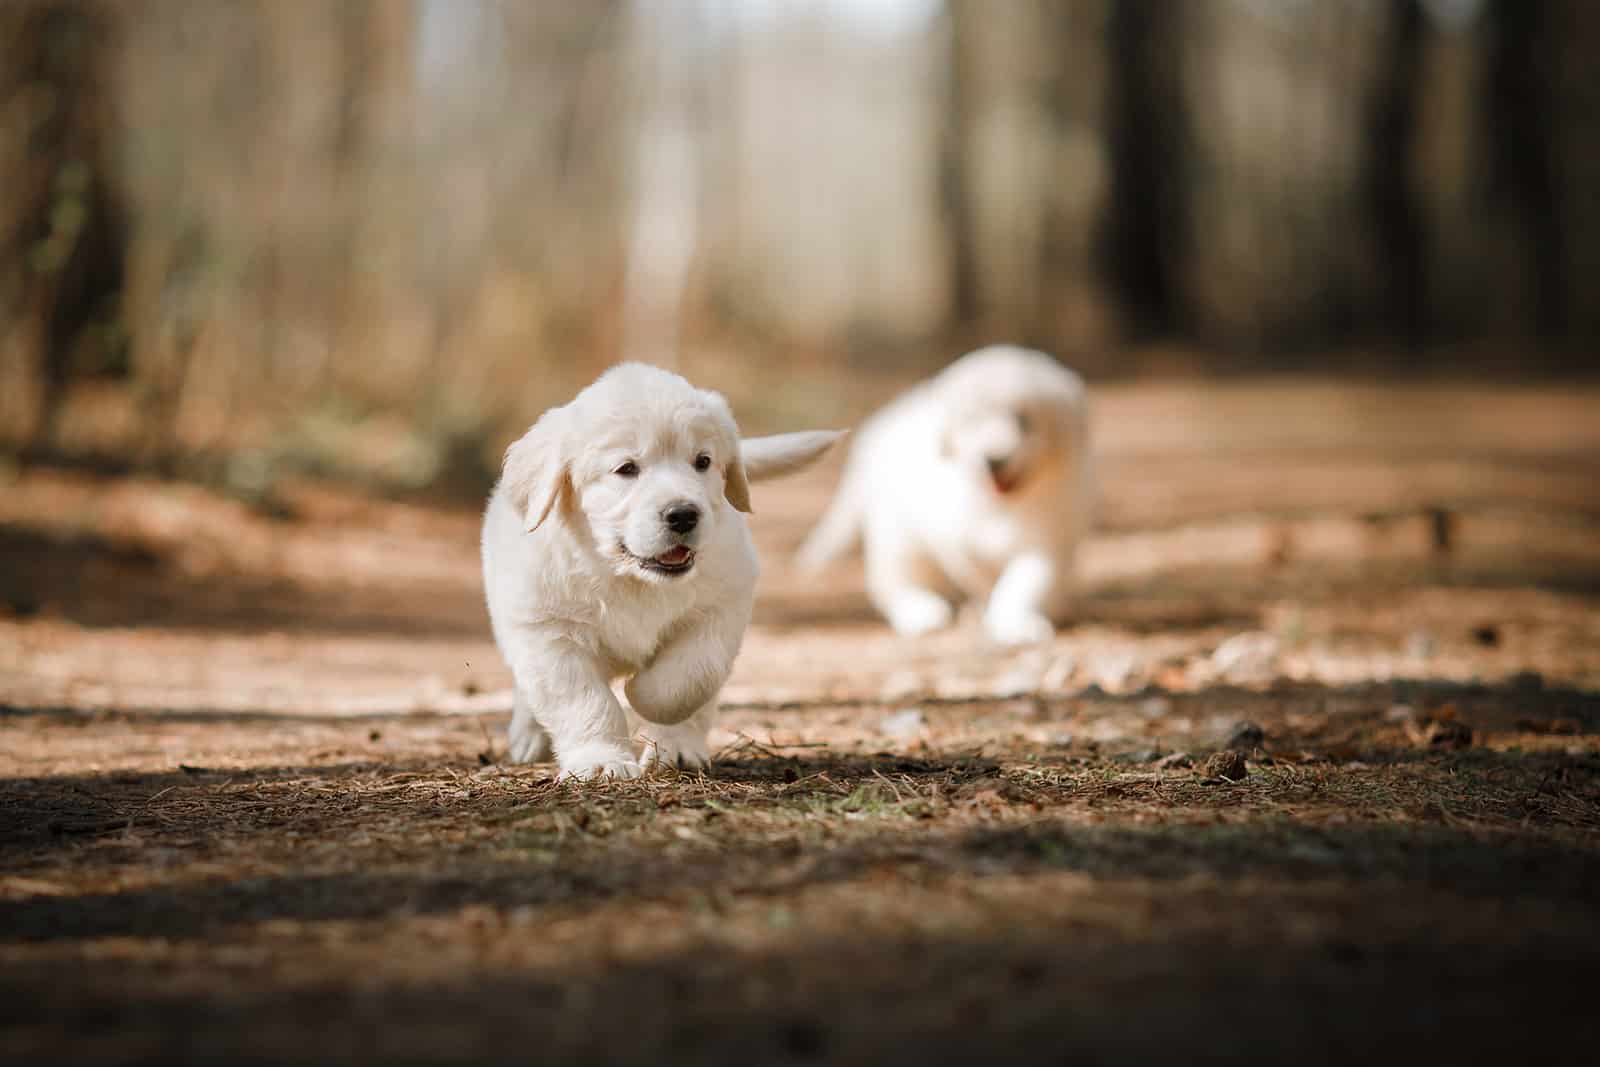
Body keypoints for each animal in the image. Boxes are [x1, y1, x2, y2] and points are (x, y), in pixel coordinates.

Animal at [483, 363, 838, 780]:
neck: (628, 577)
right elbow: (583, 700)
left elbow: (690, 679)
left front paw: (645, 700)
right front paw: (600, 760)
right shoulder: (548, 630)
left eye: (702, 461)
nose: (683, 514)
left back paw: (679, 750)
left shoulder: (722, 606)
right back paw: (528, 736)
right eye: (626, 469)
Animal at [796, 347, 1088, 643]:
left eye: (1024, 421)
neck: (1001, 505)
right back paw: (920, 612)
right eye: (972, 421)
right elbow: (981, 574)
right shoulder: (956, 537)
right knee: (896, 578)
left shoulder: (1048, 539)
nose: (994, 459)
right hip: (899, 534)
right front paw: (992, 607)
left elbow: (1027, 582)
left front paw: (1017, 621)